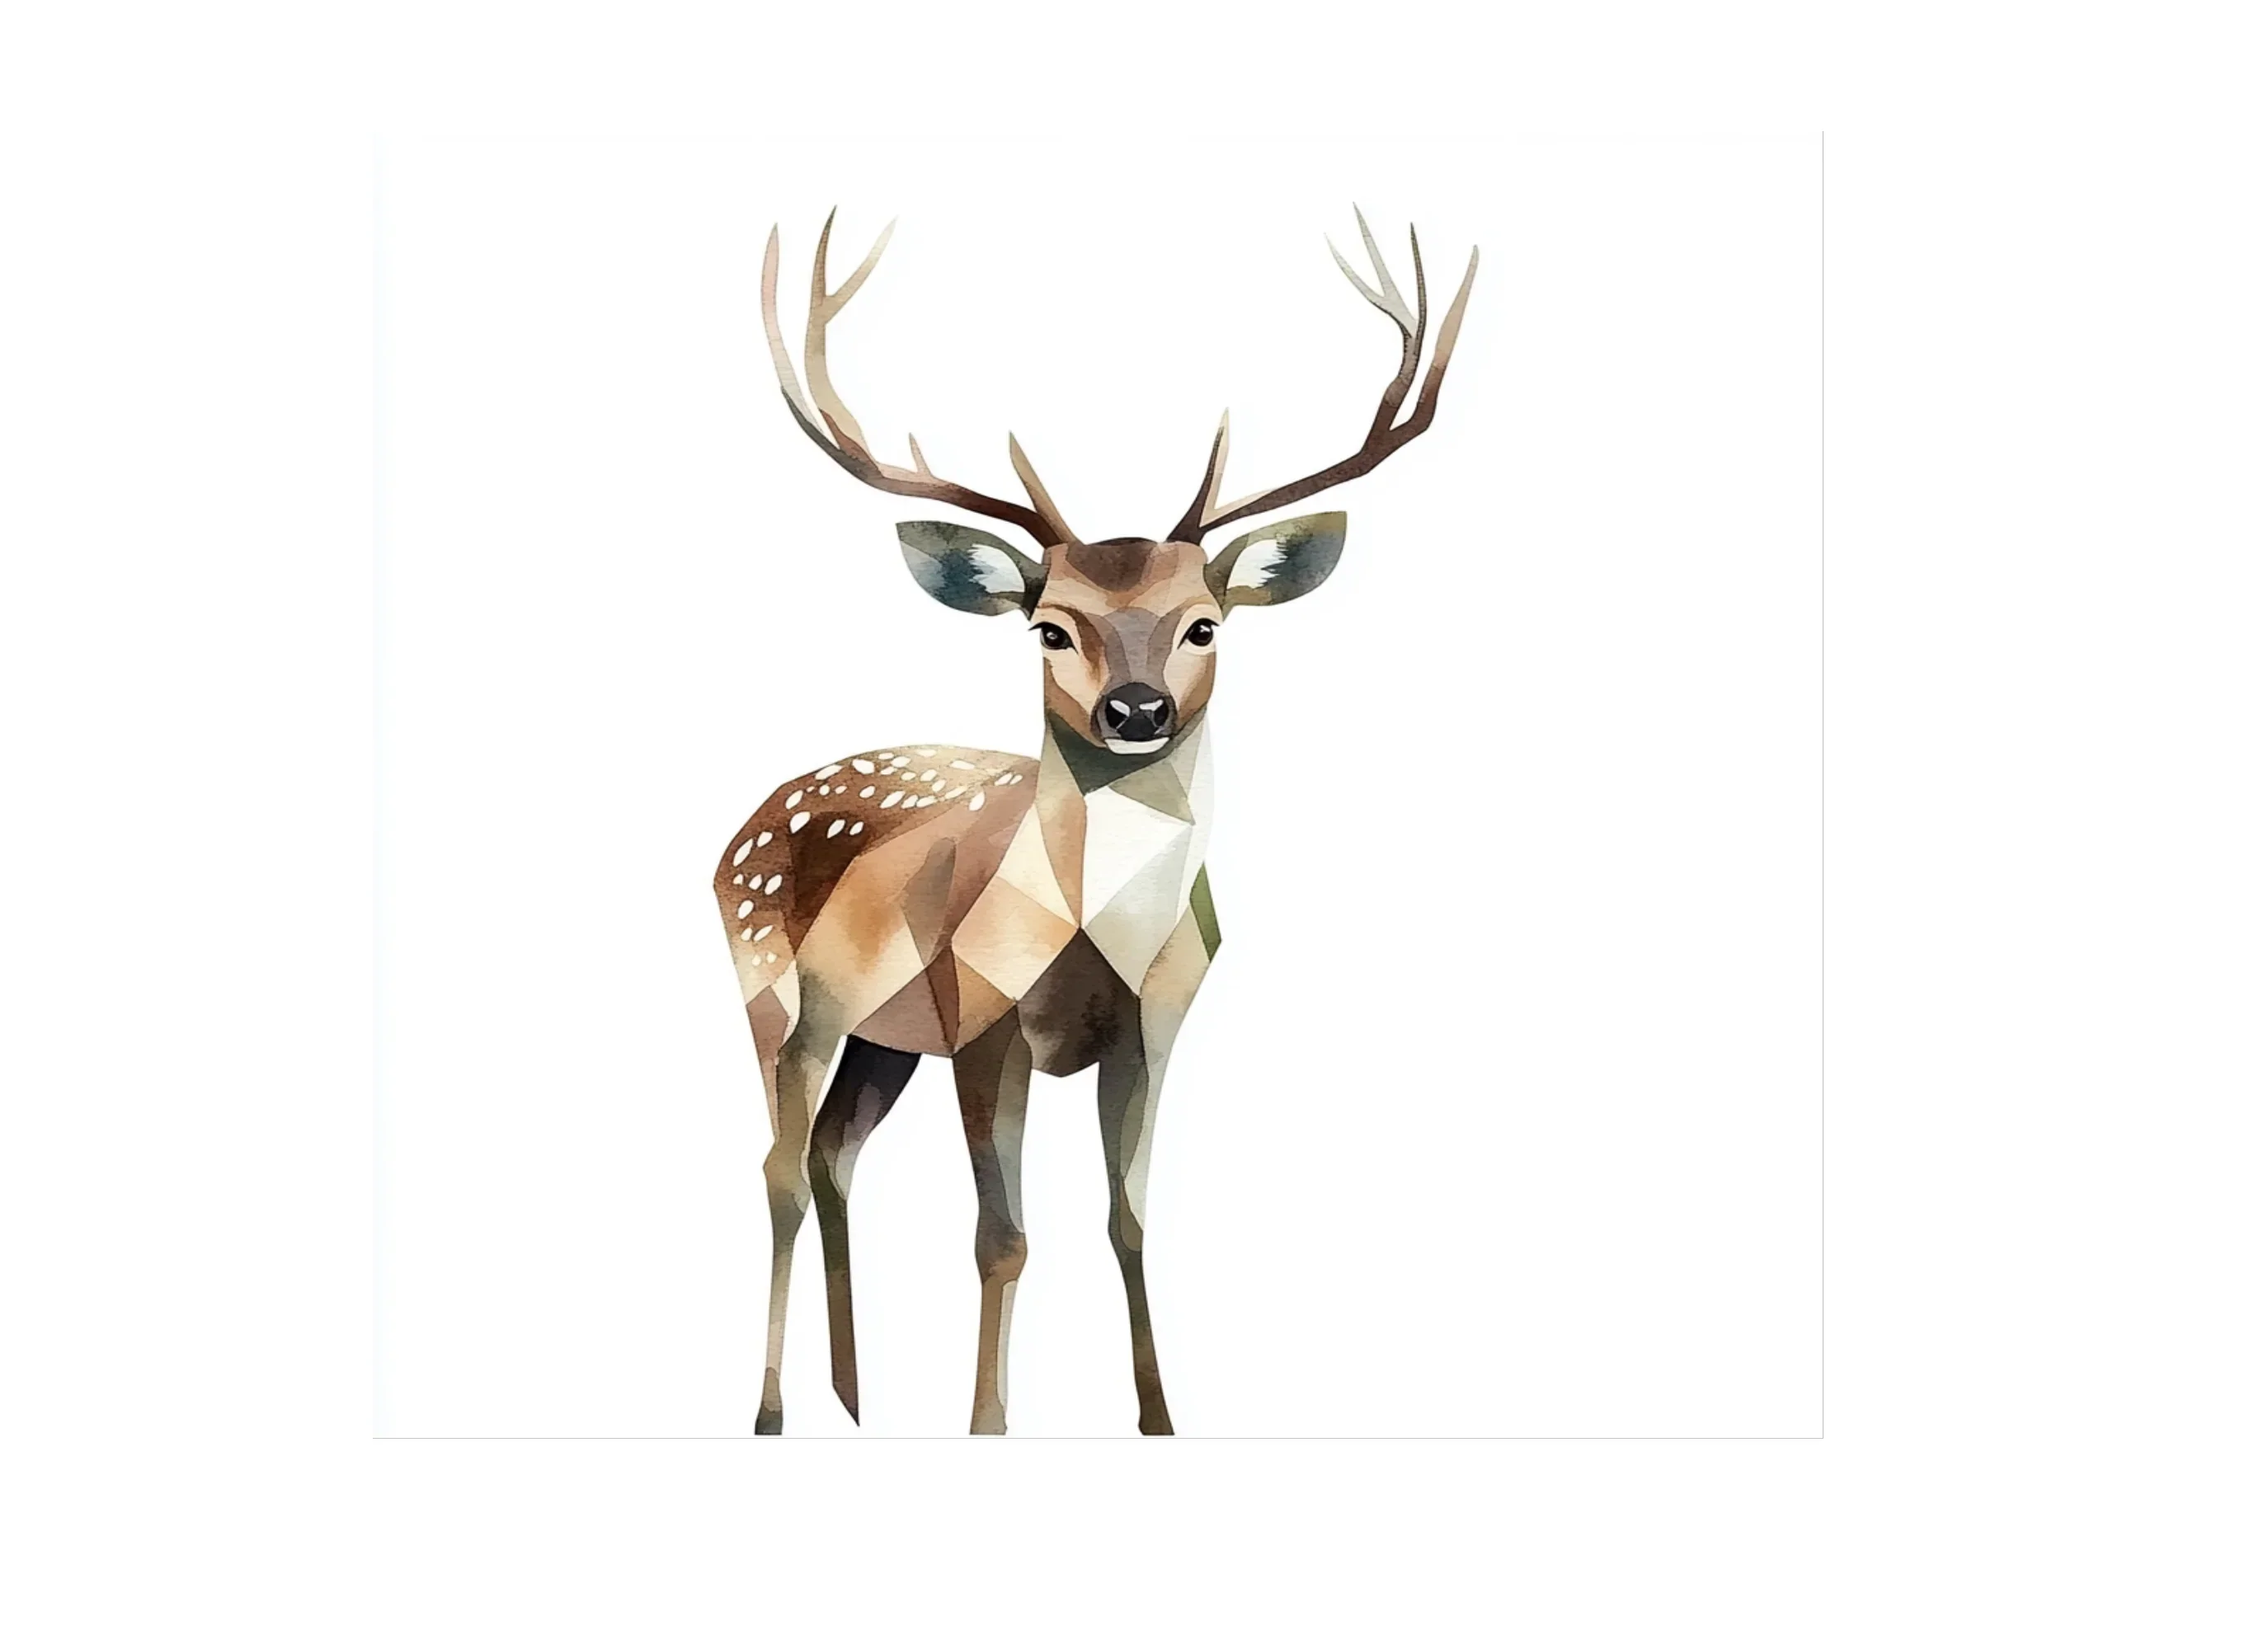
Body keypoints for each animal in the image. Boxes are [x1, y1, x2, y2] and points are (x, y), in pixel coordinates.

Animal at [719, 208, 1476, 1435]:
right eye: (1050, 627)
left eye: (1205, 623)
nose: (1136, 710)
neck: (1094, 934)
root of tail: (735, 829)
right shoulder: (984, 1020)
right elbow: (1002, 1238)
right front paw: (987, 1423)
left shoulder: (1153, 1025)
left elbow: (1126, 1219)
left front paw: (1158, 1416)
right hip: (772, 991)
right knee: (779, 1167)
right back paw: (775, 1409)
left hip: (883, 1034)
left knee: (834, 1156)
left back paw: (855, 1398)